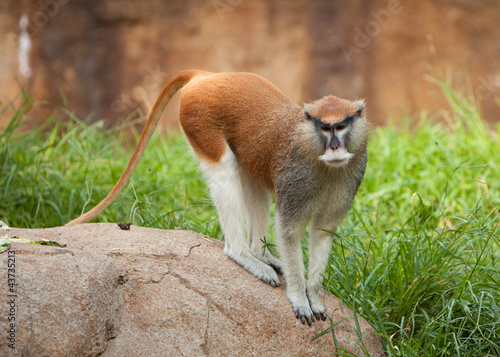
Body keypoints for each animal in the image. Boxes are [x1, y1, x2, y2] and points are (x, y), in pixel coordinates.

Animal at [66, 68, 370, 324]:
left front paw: (314, 297)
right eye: (326, 128)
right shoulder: (296, 180)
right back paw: (244, 255)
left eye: (341, 127)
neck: (316, 153)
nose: (335, 147)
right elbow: (289, 231)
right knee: (225, 173)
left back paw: (259, 253)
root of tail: (207, 75)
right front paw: (299, 298)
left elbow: (322, 231)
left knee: (252, 184)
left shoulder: (351, 176)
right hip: (199, 122)